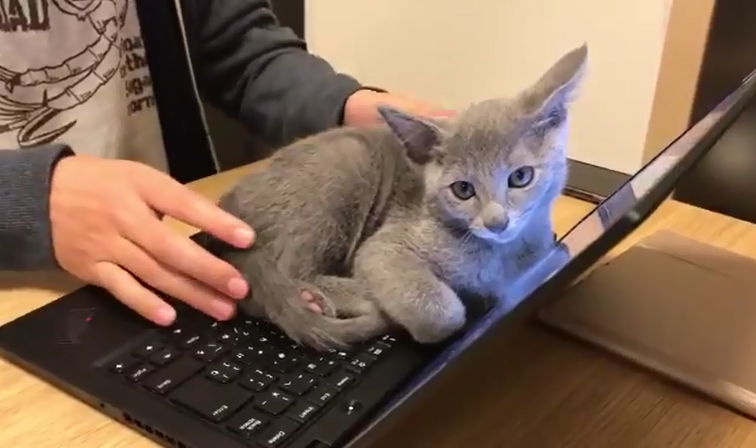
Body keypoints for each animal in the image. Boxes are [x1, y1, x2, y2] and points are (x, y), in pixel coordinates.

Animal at [216, 43, 588, 348]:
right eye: (463, 189)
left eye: (521, 177)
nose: (497, 222)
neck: (500, 257)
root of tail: (229, 202)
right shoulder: (384, 247)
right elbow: (444, 312)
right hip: (347, 160)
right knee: (280, 277)